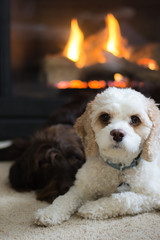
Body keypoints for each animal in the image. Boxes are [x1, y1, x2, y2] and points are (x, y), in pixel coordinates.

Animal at [34, 87, 160, 226]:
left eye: (135, 119)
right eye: (104, 116)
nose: (117, 133)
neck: (118, 167)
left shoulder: (153, 196)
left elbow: (124, 199)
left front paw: (91, 207)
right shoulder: (82, 187)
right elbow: (66, 198)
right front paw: (50, 212)